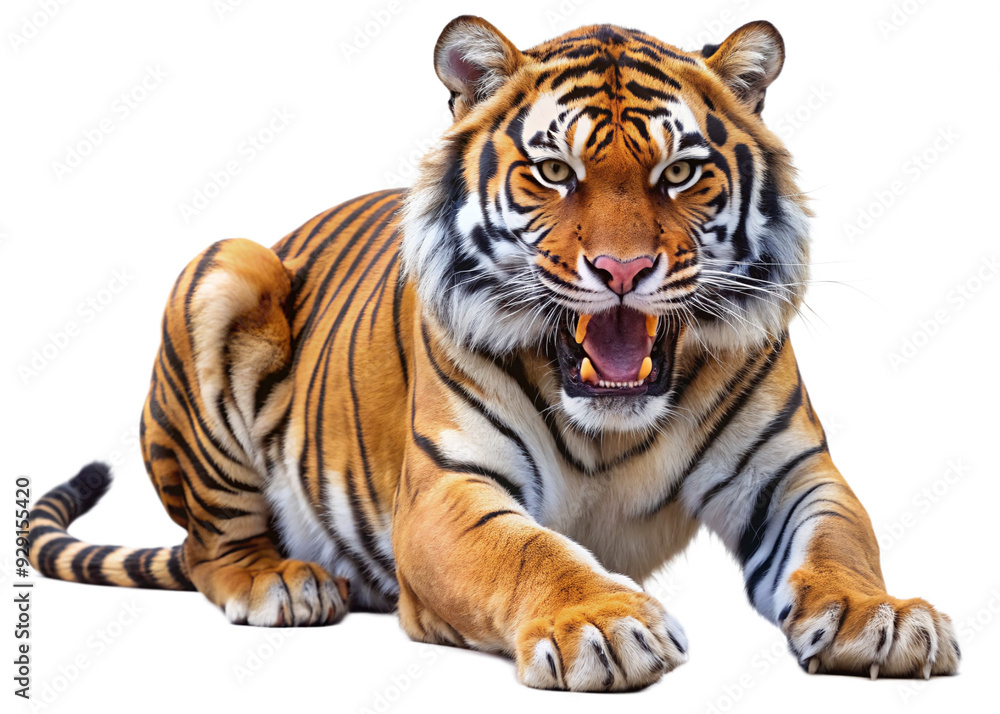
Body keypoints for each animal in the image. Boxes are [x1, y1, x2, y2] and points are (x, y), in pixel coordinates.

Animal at [28, 16, 960, 691]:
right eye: (554, 172)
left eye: (679, 174)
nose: (623, 270)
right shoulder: (449, 490)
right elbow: (529, 550)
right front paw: (603, 624)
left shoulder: (792, 472)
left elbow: (842, 546)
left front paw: (881, 618)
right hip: (226, 266)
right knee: (206, 547)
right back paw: (282, 584)